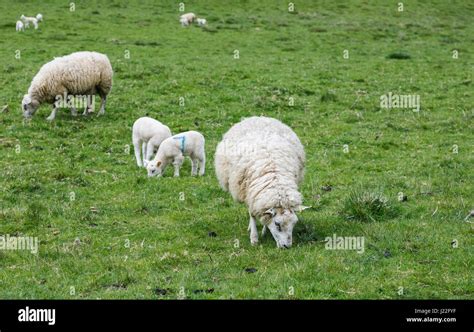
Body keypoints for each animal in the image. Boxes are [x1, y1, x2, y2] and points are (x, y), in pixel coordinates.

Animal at [214, 115, 310, 248]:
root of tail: (257, 117)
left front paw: (264, 231)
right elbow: (252, 214)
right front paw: (254, 238)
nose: (287, 246)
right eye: (277, 224)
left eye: (294, 223)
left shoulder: (261, 198)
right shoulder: (250, 193)